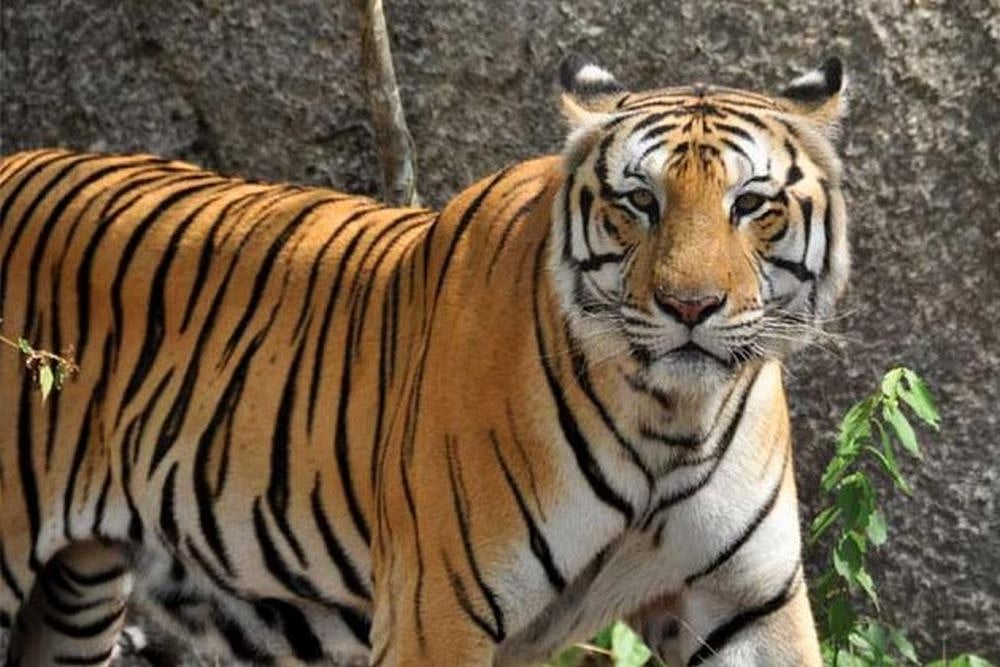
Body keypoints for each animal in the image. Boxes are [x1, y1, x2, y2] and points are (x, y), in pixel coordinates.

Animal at [0, 54, 848, 666]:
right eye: (640, 202)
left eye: (751, 204)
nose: (690, 306)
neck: (670, 415)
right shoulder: (435, 610)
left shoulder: (748, 603)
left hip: (75, 595)